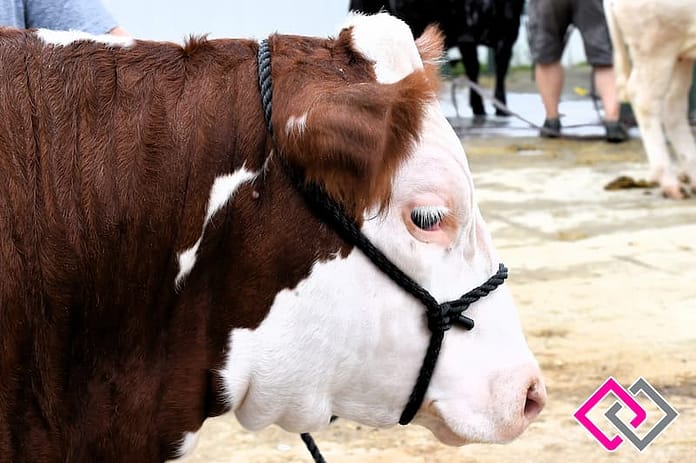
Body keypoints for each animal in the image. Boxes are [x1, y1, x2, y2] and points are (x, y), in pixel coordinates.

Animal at [349, 0, 525, 118]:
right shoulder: (477, 35)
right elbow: (485, 69)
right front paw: (494, 108)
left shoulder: (505, 32)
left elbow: (487, 69)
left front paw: (486, 108)